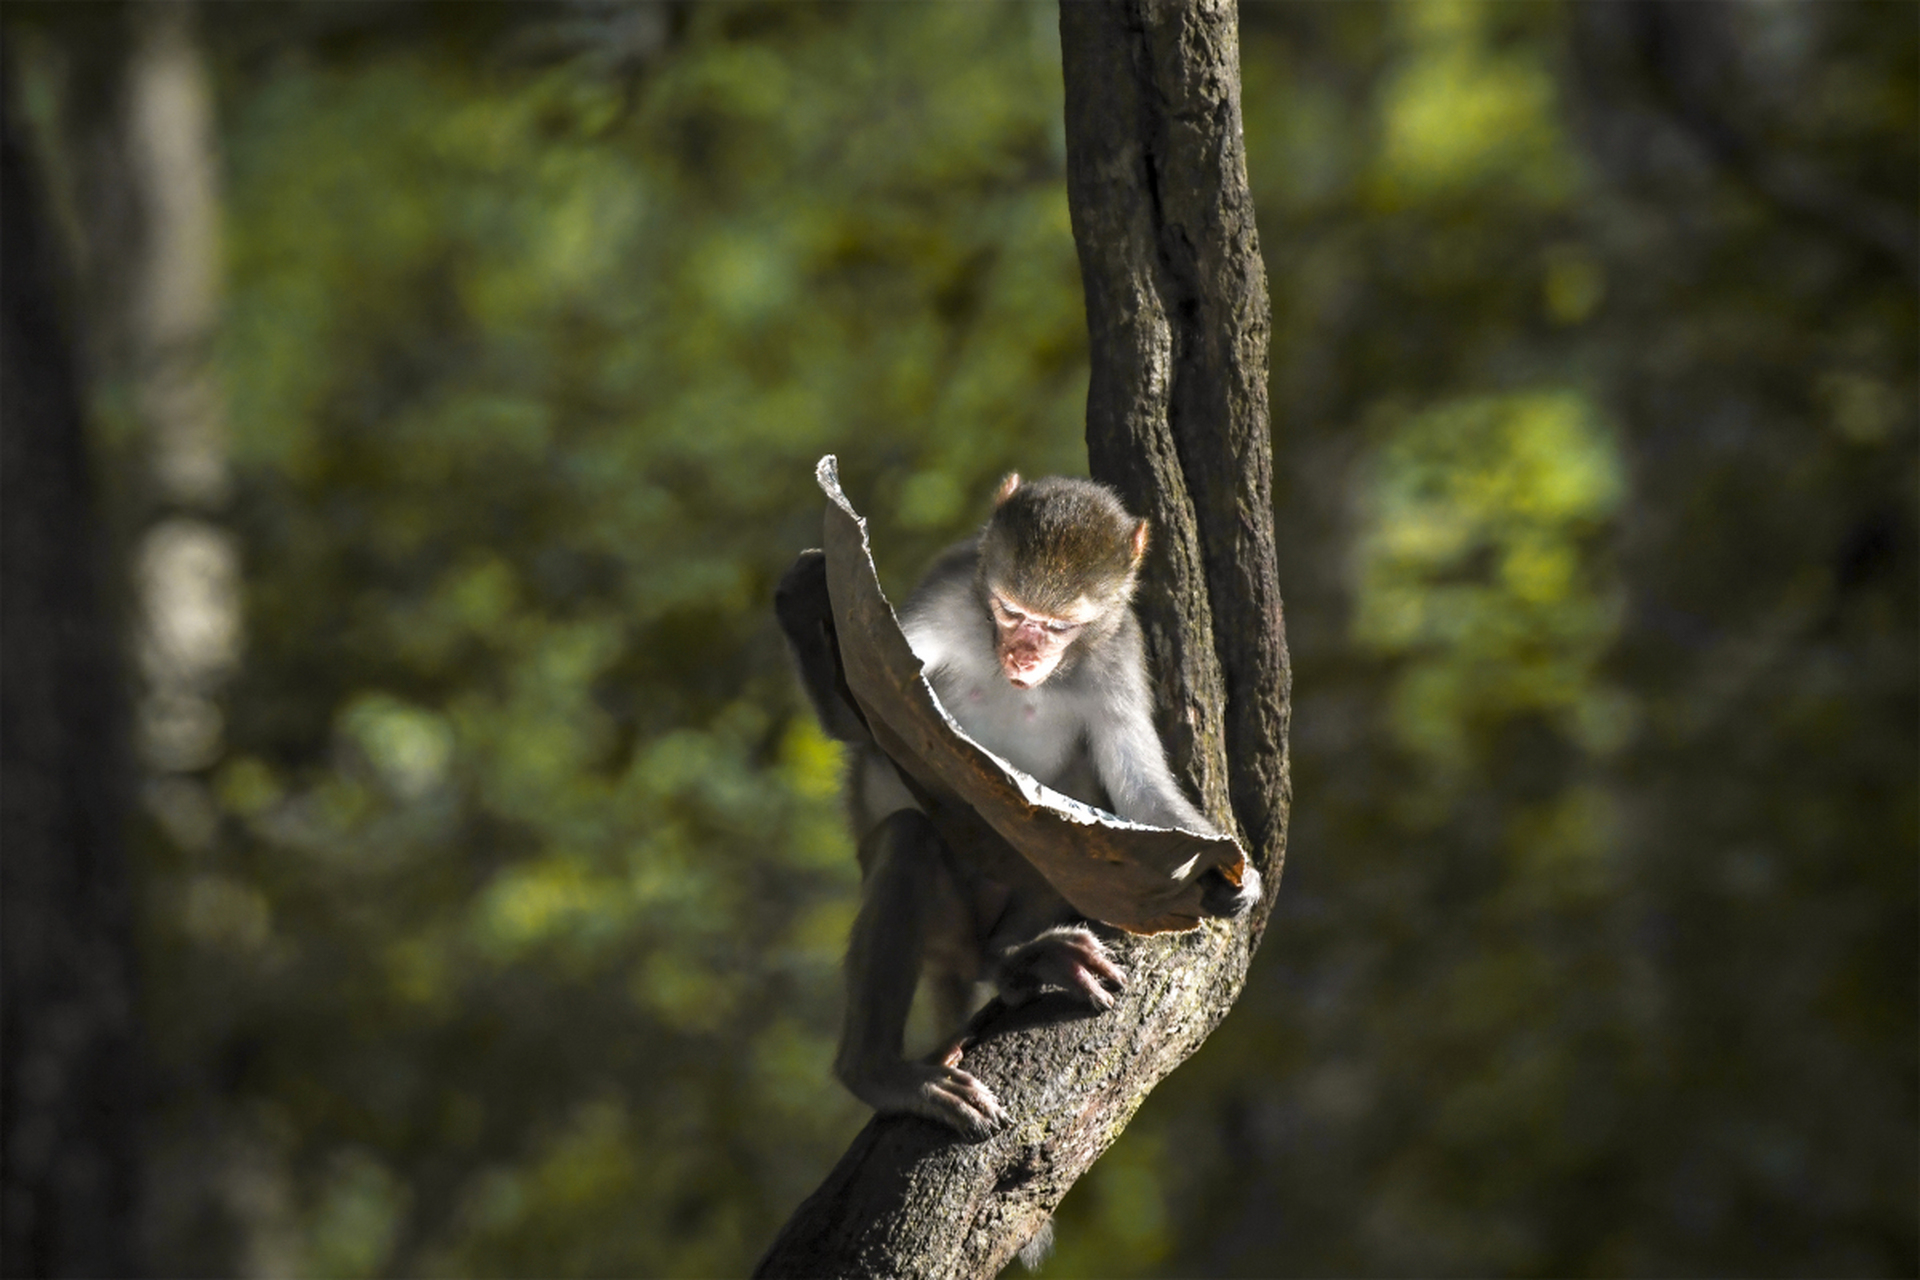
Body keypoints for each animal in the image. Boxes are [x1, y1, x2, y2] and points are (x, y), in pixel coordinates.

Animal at [779, 470, 1259, 1143]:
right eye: (1011, 612)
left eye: (1057, 627)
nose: (1024, 656)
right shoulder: (947, 593)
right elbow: (869, 719)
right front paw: (805, 600)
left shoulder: (1118, 651)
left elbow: (1136, 788)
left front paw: (1231, 874)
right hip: (947, 926)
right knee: (908, 838)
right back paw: (879, 1072)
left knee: (1064, 820)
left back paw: (1017, 955)